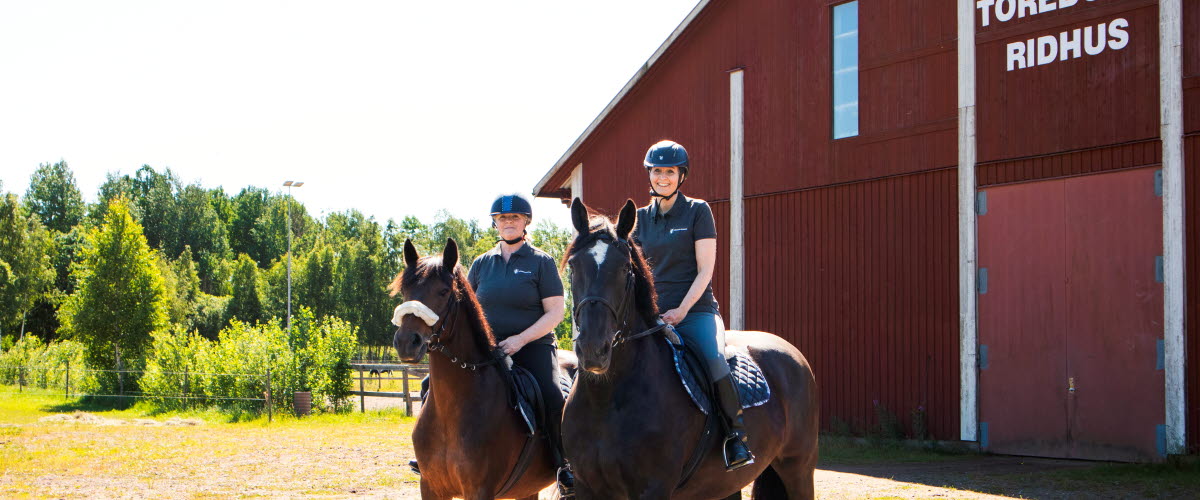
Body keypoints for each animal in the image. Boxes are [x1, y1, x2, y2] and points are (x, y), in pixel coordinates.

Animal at [559, 199, 820, 498]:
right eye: (574, 267)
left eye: (625, 268)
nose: (593, 349)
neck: (606, 399)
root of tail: (794, 355)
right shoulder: (586, 486)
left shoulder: (654, 488)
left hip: (798, 469)